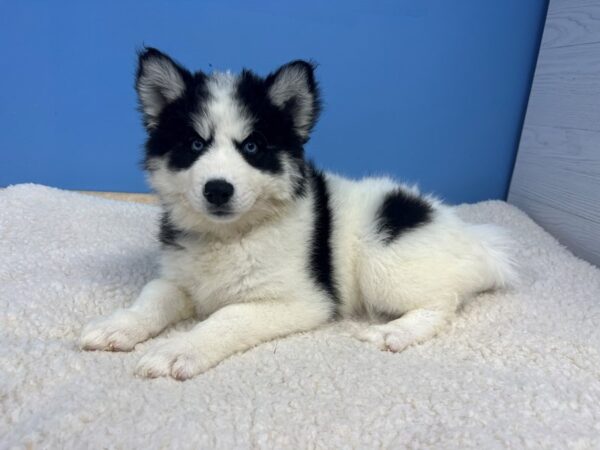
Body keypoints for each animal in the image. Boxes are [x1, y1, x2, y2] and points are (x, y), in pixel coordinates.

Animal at [78, 48, 516, 380]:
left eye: (252, 147)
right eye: (194, 144)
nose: (217, 189)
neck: (232, 235)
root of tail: (477, 241)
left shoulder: (300, 301)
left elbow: (227, 317)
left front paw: (178, 349)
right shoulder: (178, 279)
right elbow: (152, 298)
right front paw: (118, 325)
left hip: (385, 265)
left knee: (442, 303)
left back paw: (396, 332)